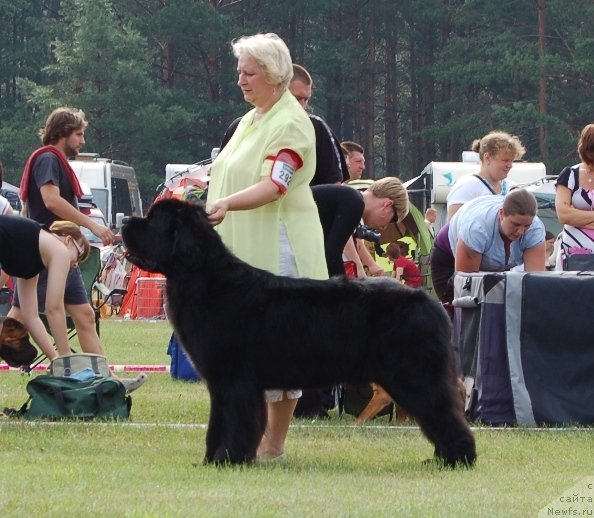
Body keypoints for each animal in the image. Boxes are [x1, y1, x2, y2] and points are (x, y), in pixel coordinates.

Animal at [122, 199, 474, 468]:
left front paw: (229, 460)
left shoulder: (235, 382)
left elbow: (236, 423)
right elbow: (217, 425)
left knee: (444, 413)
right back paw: (442, 458)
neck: (205, 278)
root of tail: (431, 303)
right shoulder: (221, 385)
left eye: (152, 220)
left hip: (414, 376)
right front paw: (211, 460)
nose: (125, 219)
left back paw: (457, 460)